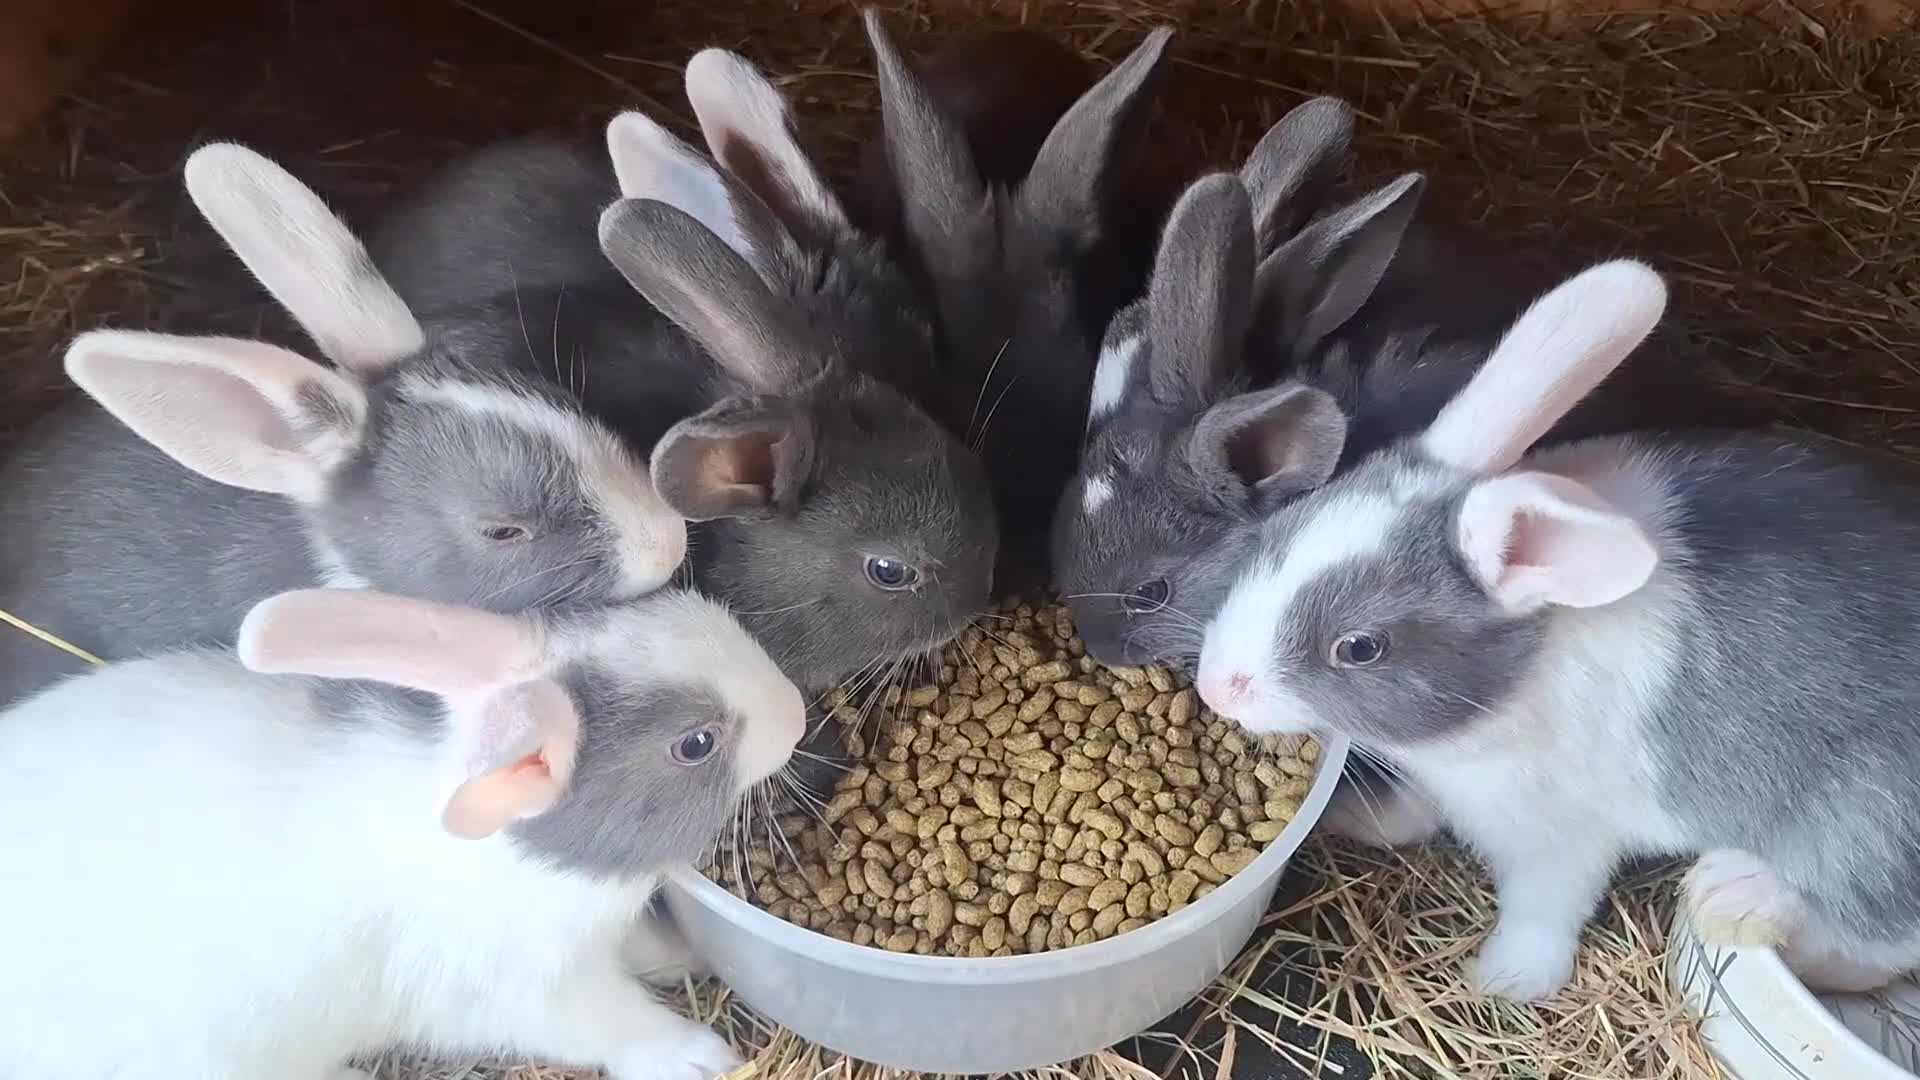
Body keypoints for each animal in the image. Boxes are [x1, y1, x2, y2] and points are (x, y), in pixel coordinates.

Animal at [0, 582, 805, 1079]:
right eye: (696, 743)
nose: (797, 713)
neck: (524, 861)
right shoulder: (522, 994)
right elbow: (614, 1025)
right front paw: (701, 1057)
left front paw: (678, 955)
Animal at [1194, 257, 1920, 1002]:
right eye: (1282, 532)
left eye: (1360, 648)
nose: (1215, 687)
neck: (1526, 662)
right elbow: (1414, 813)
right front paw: (1354, 819)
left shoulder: (1561, 841)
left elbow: (1542, 912)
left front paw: (1504, 980)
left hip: (1871, 826)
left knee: (1876, 940)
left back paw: (1733, 895)